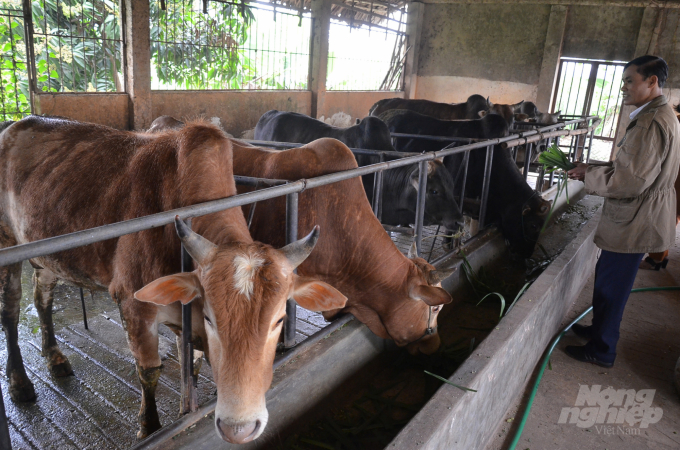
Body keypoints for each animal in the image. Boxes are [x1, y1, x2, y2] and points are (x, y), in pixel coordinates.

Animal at [0, 116, 346, 442]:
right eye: (211, 318)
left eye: (279, 320)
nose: (241, 427)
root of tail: (14, 125)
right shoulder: (133, 304)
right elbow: (149, 372)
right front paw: (150, 427)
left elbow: (190, 368)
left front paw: (184, 412)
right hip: (8, 249)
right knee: (11, 311)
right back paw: (19, 383)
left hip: (48, 255)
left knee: (42, 298)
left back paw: (54, 357)